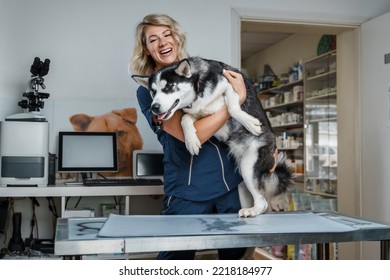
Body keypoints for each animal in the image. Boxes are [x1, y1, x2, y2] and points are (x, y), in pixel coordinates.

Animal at [132, 57, 292, 218]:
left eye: (169, 87)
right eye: (153, 92)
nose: (154, 108)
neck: (198, 88)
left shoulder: (230, 85)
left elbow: (233, 108)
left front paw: (249, 122)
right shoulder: (197, 113)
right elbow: (185, 119)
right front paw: (191, 141)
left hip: (249, 167)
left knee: (262, 201)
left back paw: (252, 210)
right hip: (242, 182)